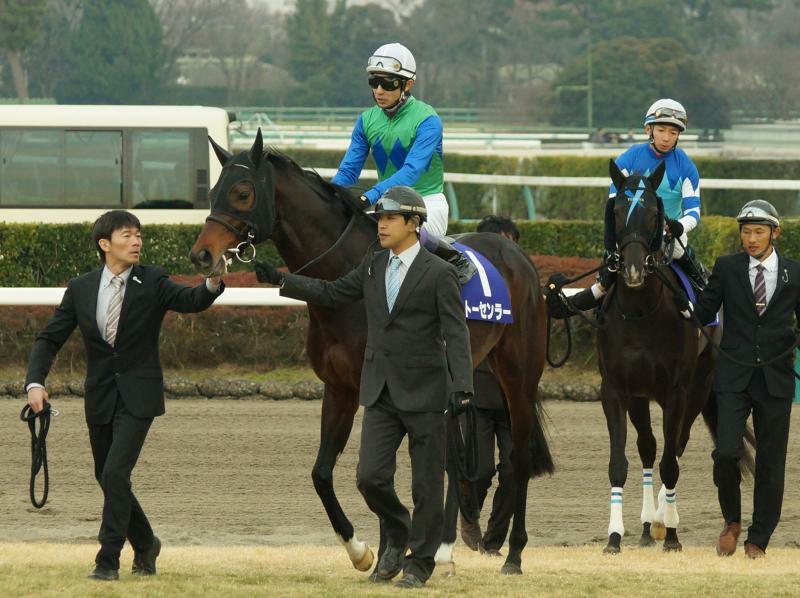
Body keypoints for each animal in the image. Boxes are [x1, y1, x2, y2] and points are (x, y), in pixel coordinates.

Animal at [188, 131, 552, 576]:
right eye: (213, 192)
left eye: (242, 193)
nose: (201, 254)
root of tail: (517, 257)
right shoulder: (341, 389)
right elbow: (324, 473)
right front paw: (364, 552)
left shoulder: (382, 390)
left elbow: (384, 474)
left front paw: (391, 551)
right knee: (452, 461)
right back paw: (444, 550)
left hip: (519, 374)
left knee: (517, 457)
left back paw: (513, 554)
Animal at [604, 161, 752, 556]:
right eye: (618, 211)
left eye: (654, 213)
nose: (634, 270)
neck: (641, 311)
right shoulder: (617, 390)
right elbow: (620, 463)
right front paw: (614, 536)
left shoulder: (675, 392)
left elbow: (671, 464)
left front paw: (670, 532)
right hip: (642, 397)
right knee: (648, 447)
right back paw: (646, 524)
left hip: (699, 387)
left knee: (678, 445)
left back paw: (661, 518)